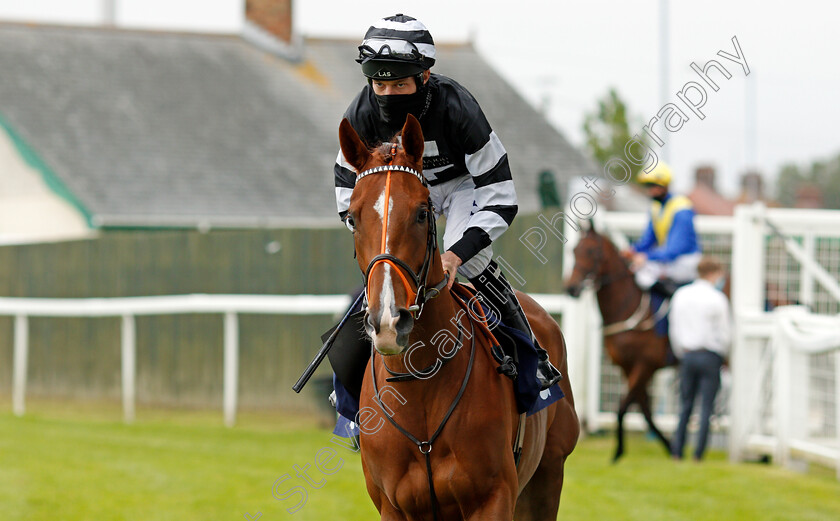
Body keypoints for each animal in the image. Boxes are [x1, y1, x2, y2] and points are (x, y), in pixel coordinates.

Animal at [338, 115, 580, 520]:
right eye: (353, 218)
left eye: (422, 213)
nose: (389, 322)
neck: (418, 383)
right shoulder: (393, 506)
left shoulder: (492, 498)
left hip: (548, 477)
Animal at [560, 225, 672, 462]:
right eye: (574, 251)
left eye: (592, 251)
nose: (571, 288)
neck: (630, 307)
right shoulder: (627, 366)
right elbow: (644, 410)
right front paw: (669, 445)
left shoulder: (646, 365)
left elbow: (622, 407)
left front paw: (619, 451)